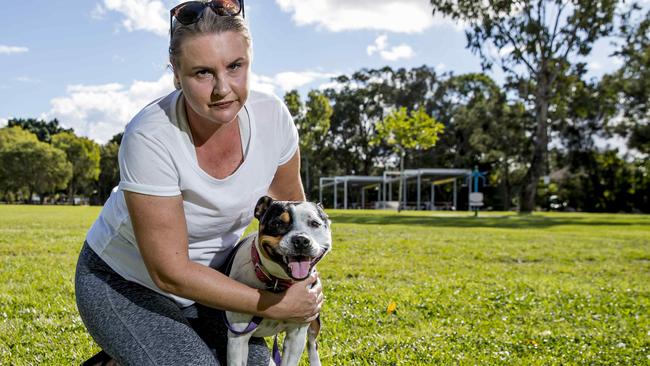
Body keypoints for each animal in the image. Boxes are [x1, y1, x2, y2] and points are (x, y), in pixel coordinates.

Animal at [224, 196, 334, 366]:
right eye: (277, 224)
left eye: (314, 224)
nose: (301, 240)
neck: (277, 282)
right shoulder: (238, 337)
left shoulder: (296, 336)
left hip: (314, 320)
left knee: (312, 343)